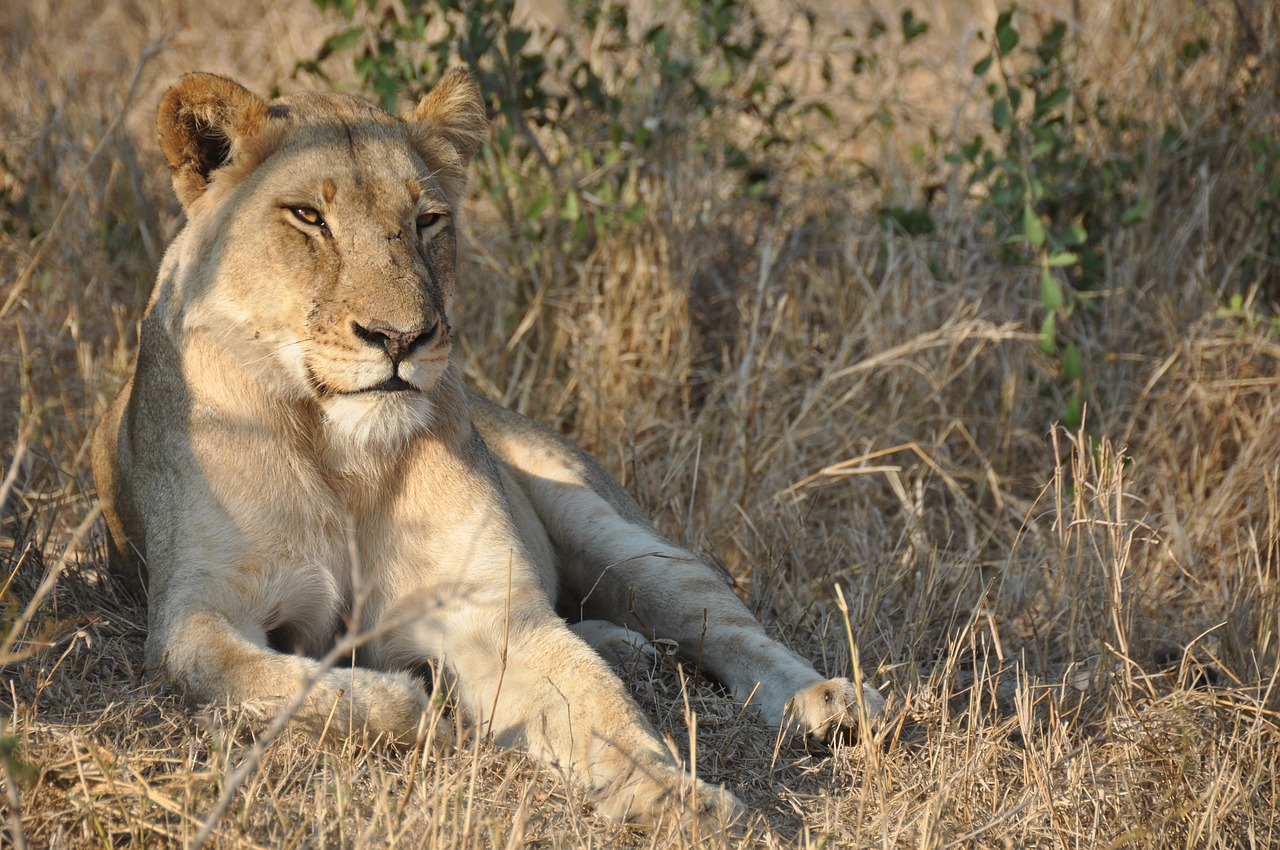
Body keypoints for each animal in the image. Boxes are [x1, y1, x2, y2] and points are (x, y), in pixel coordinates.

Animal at [90, 69, 885, 824]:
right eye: (308, 217)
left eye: (426, 220)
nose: (401, 339)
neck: (342, 455)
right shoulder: (197, 612)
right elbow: (266, 678)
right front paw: (413, 708)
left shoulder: (492, 615)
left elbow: (605, 715)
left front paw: (678, 801)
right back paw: (626, 649)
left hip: (616, 535)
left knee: (725, 624)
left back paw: (832, 705)